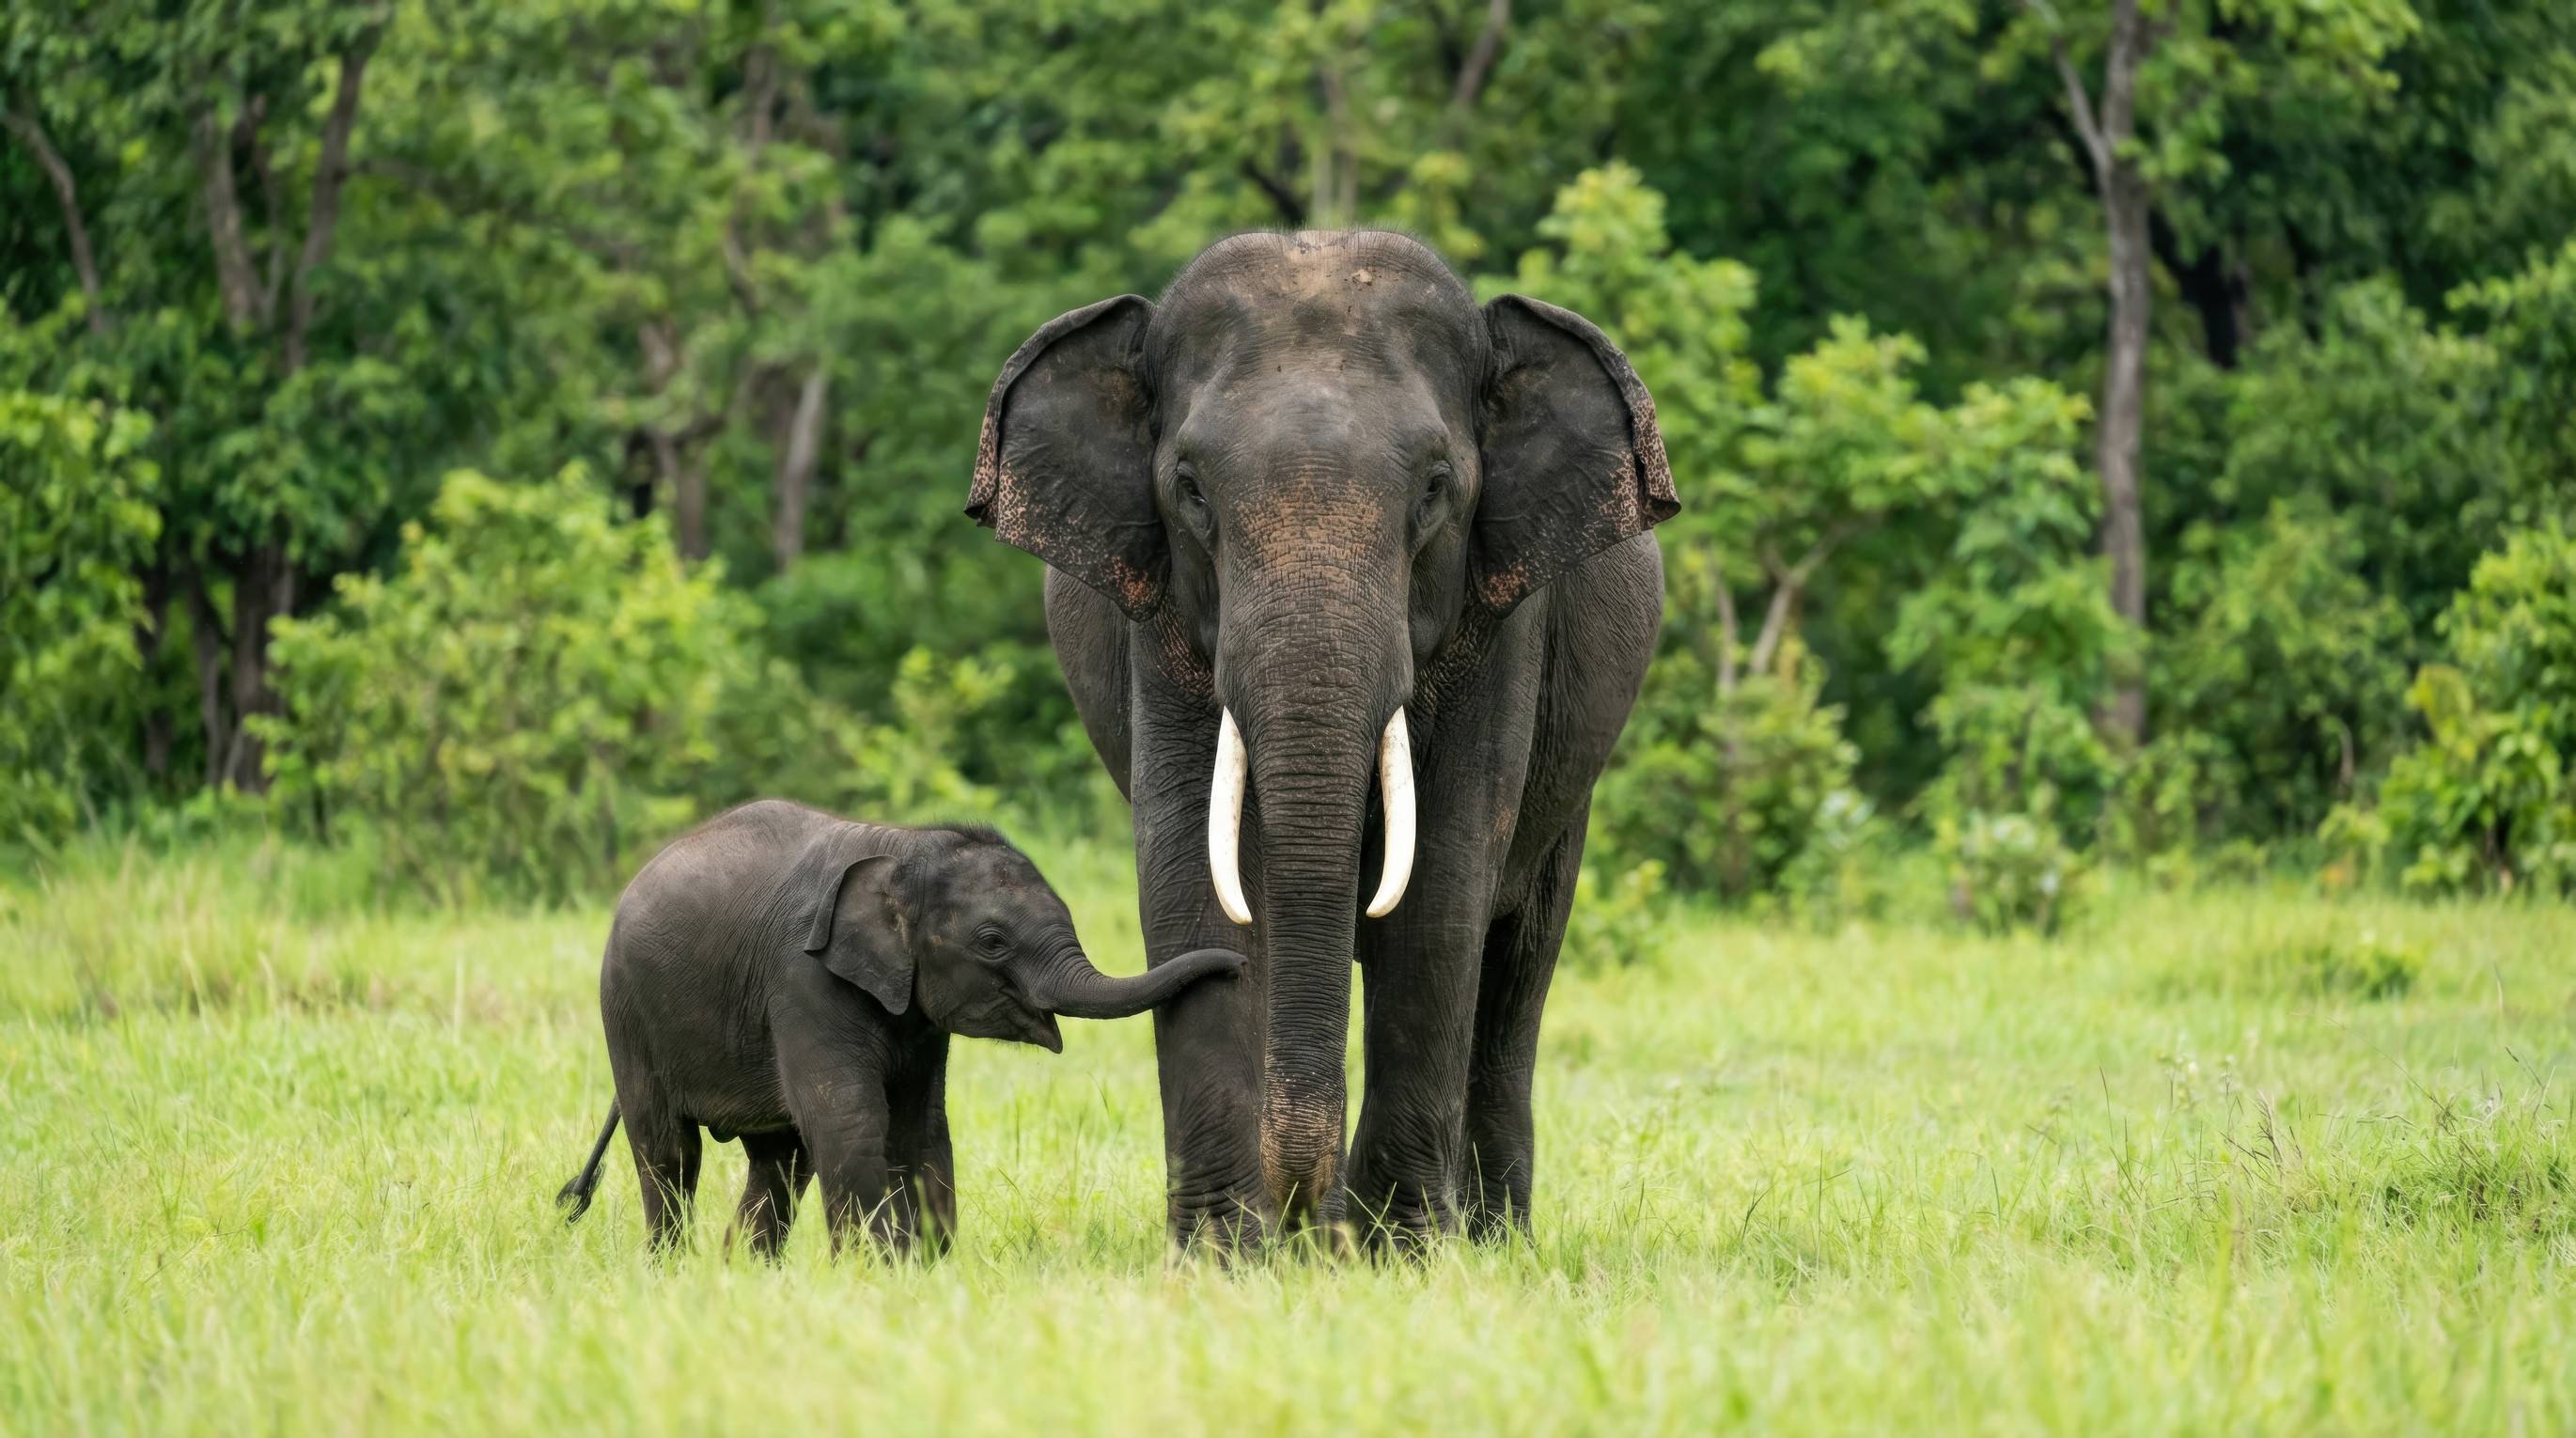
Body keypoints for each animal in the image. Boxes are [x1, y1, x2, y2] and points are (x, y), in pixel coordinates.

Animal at [553, 799, 1246, 1256]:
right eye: (991, 942)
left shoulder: (914, 1013)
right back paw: (670, 1272)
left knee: (778, 1162)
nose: (1238, 964)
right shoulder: (802, 981)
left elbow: (920, 1129)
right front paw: (876, 1274)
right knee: (670, 1152)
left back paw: (739, 1275)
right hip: (626, 1010)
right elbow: (851, 1121)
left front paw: (925, 1271)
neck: (907, 849)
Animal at [965, 229, 1675, 1251]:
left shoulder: (1502, 620)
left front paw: (1402, 1254)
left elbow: (1441, 888)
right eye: (1190, 492)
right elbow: (1189, 873)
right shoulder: (1162, 621)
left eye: (1435, 490)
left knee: (1516, 971)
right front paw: (1223, 1254)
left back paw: (1490, 1240)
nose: (1303, 1212)